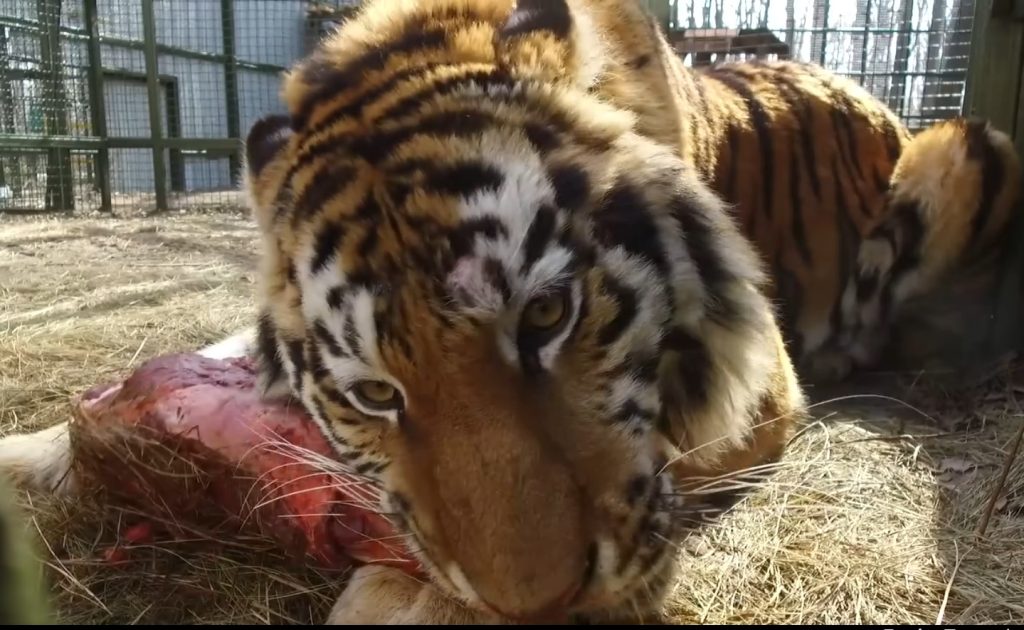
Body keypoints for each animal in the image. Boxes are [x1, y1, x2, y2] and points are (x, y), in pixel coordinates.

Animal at [0, 0, 1019, 624]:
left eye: (547, 317)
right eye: (375, 394)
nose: (535, 603)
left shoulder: (760, 384)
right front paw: (41, 448)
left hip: (966, 146)